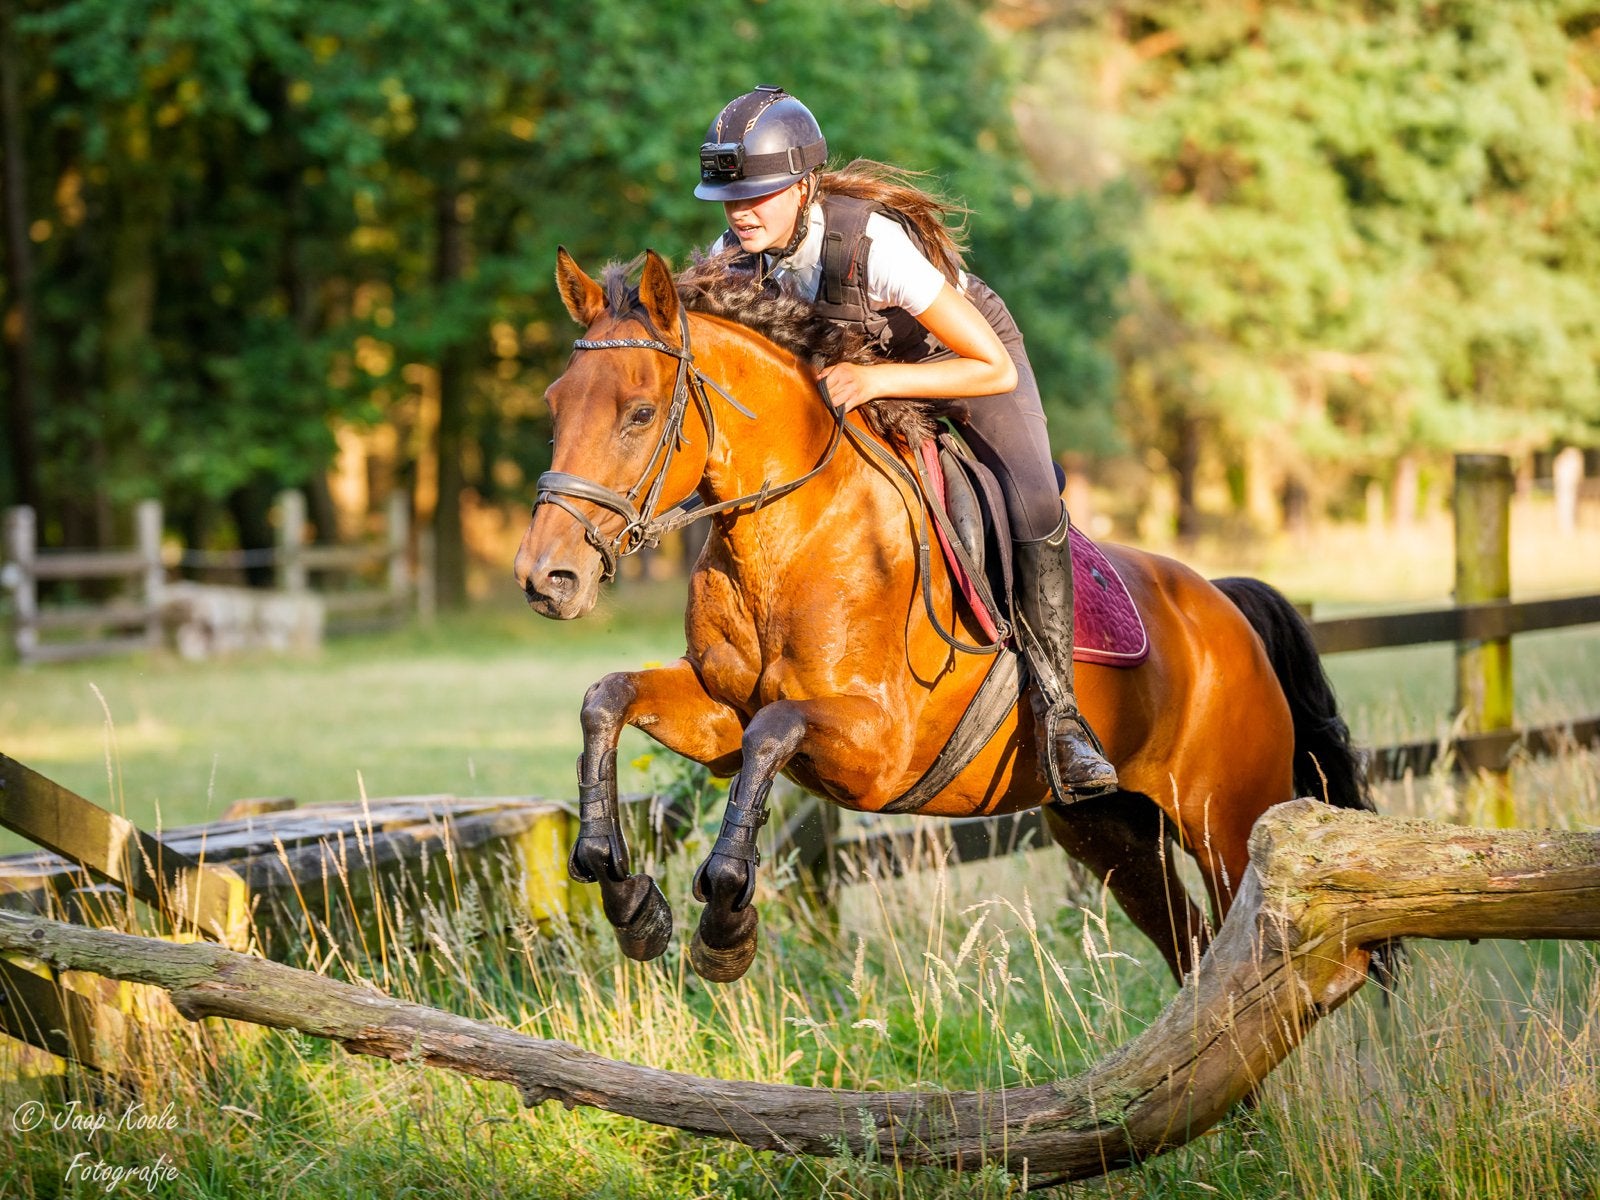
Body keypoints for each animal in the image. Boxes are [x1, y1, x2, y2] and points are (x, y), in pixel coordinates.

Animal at [513, 247, 1375, 986]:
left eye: (638, 413)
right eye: (555, 404)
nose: (545, 577)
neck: (790, 534)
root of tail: (1223, 609)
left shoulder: (878, 748)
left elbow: (773, 732)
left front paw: (725, 923)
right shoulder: (718, 712)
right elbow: (608, 699)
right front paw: (622, 890)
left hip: (1230, 822)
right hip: (1112, 834)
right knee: (1195, 951)